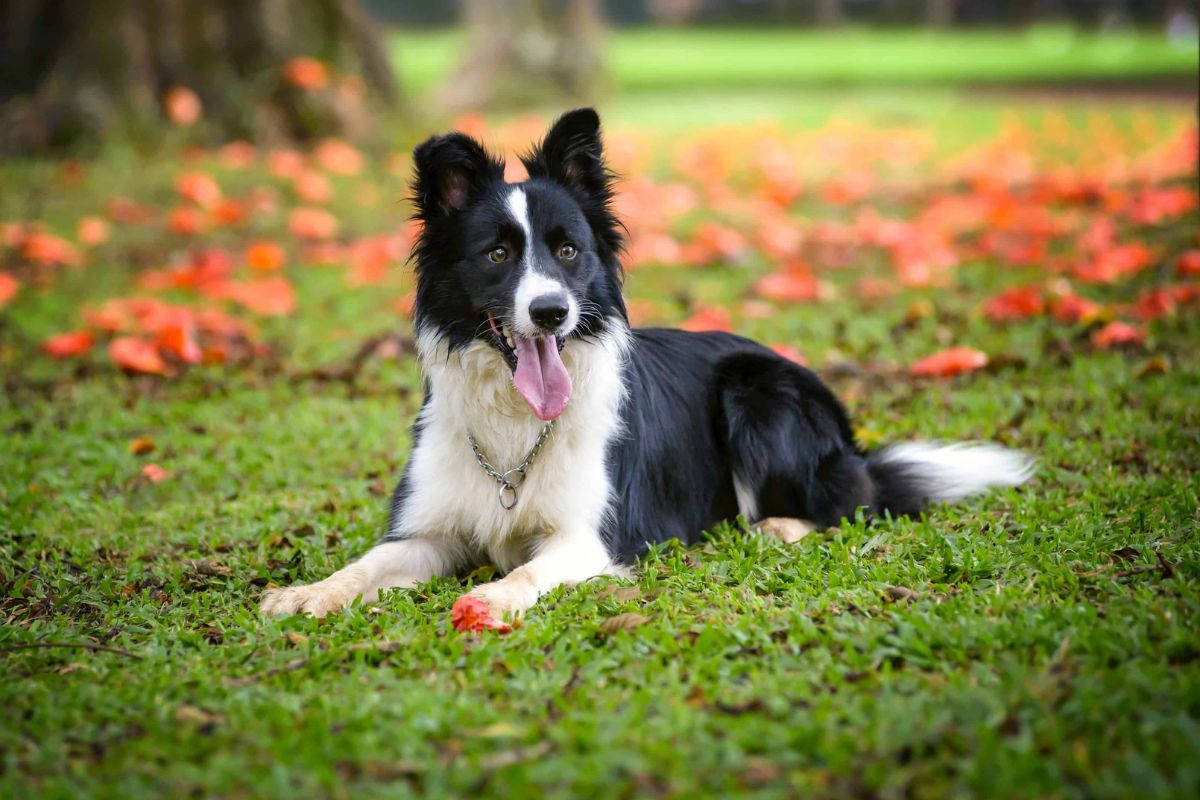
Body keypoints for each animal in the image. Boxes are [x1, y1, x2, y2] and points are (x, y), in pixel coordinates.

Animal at [260, 107, 1032, 618]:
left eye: (569, 250)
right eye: (498, 253)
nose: (551, 314)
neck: (515, 425)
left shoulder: (590, 537)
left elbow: (526, 574)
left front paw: (492, 598)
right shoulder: (428, 531)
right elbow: (366, 563)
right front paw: (305, 593)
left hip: (758, 394)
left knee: (850, 504)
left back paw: (777, 527)